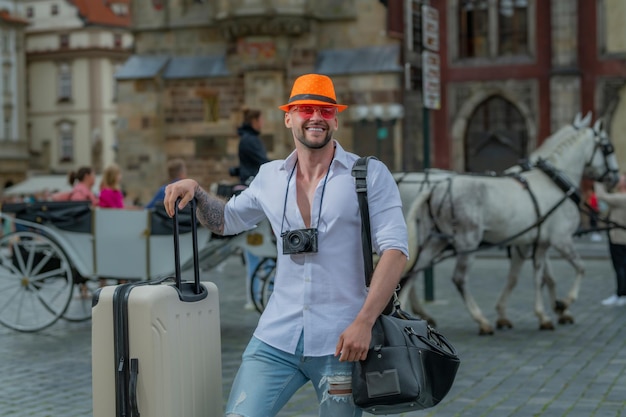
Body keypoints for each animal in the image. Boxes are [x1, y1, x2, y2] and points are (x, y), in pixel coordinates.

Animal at [398, 114, 616, 334]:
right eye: (608, 148)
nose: (615, 177)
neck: (553, 182)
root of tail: (435, 189)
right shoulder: (560, 239)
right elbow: (579, 268)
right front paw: (563, 304)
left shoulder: (535, 242)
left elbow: (535, 277)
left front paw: (542, 314)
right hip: (467, 241)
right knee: (457, 279)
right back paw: (481, 320)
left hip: (435, 241)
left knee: (412, 272)